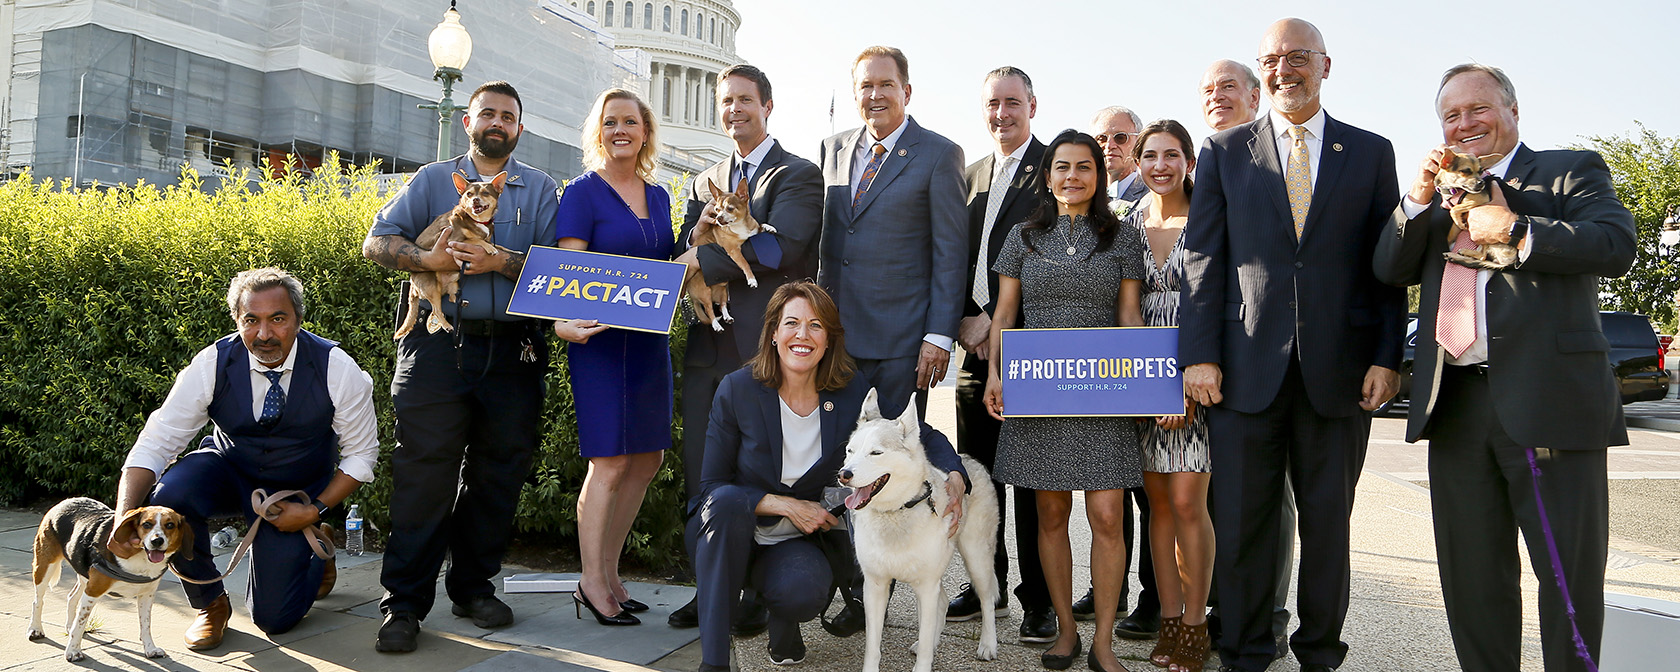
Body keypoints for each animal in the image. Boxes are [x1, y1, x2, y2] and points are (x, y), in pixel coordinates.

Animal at [28, 497, 191, 661]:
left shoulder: (146, 595)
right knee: (38, 601)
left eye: (170, 525)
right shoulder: (93, 591)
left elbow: (146, 624)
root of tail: (67, 501)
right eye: (147, 524)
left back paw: (68, 625)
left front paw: (150, 648)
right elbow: (80, 624)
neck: (141, 557)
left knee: (71, 597)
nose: (157, 541)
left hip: (84, 577)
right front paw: (73, 651)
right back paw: (35, 629)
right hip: (44, 568)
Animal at [393, 170, 503, 339]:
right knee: (437, 310)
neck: (478, 221)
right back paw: (447, 326)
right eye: (469, 194)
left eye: (485, 193)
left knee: (452, 300)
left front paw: (509, 250)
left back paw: (461, 304)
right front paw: (488, 248)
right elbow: (474, 239)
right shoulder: (453, 240)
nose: (475, 200)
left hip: (454, 285)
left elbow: (501, 246)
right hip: (432, 288)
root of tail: (412, 284)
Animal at [678, 178, 776, 330]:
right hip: (705, 292)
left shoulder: (752, 232)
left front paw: (769, 227)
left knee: (722, 304)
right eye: (716, 210)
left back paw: (727, 317)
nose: (718, 218)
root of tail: (692, 297)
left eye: (730, 208)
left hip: (723, 290)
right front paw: (751, 279)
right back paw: (716, 325)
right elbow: (745, 263)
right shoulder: (733, 251)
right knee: (709, 310)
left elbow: (760, 226)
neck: (739, 226)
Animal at [840, 388, 994, 672]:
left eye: (876, 453)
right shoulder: (875, 586)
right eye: (850, 450)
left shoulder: (926, 585)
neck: (896, 512)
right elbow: (873, 646)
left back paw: (988, 645)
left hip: (976, 557)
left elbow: (924, 638)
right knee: (943, 602)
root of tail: (969, 459)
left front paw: (924, 659)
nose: (843, 474)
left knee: (987, 600)